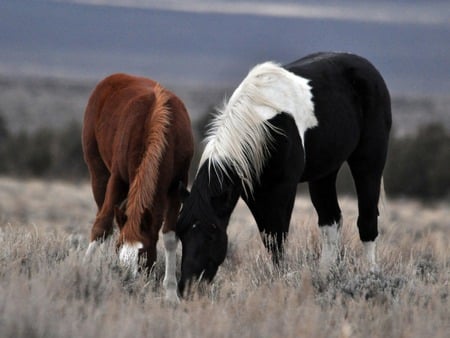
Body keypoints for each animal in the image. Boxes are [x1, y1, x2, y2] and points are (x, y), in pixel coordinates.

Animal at [82, 73, 193, 302]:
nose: (127, 282)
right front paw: (85, 269)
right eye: (119, 248)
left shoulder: (177, 185)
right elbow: (102, 225)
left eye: (143, 253)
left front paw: (171, 293)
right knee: (103, 217)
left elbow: (170, 236)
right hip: (98, 174)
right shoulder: (117, 179)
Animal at [176, 52, 390, 294]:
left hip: (369, 161)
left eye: (212, 231)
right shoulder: (255, 193)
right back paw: (324, 278)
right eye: (180, 232)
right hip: (324, 173)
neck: (263, 125)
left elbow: (277, 238)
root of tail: (367, 67)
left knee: (367, 221)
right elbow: (269, 238)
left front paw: (280, 281)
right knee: (331, 222)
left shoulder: (283, 189)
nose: (187, 287)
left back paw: (371, 278)